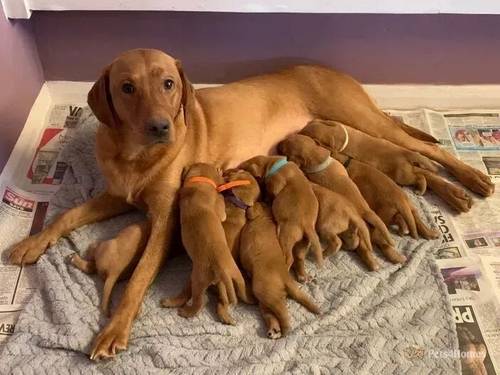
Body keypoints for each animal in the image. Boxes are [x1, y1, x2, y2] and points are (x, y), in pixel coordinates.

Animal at [160, 162, 250, 320]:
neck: (200, 181)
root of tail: (222, 270)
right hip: (225, 276)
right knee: (200, 301)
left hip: (204, 278)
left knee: (199, 300)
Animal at [239, 204, 320, 340]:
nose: (248, 205)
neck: (267, 217)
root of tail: (286, 278)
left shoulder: (255, 213)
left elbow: (251, 213)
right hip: (266, 300)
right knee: (272, 315)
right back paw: (274, 330)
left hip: (266, 293)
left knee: (283, 313)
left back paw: (285, 330)